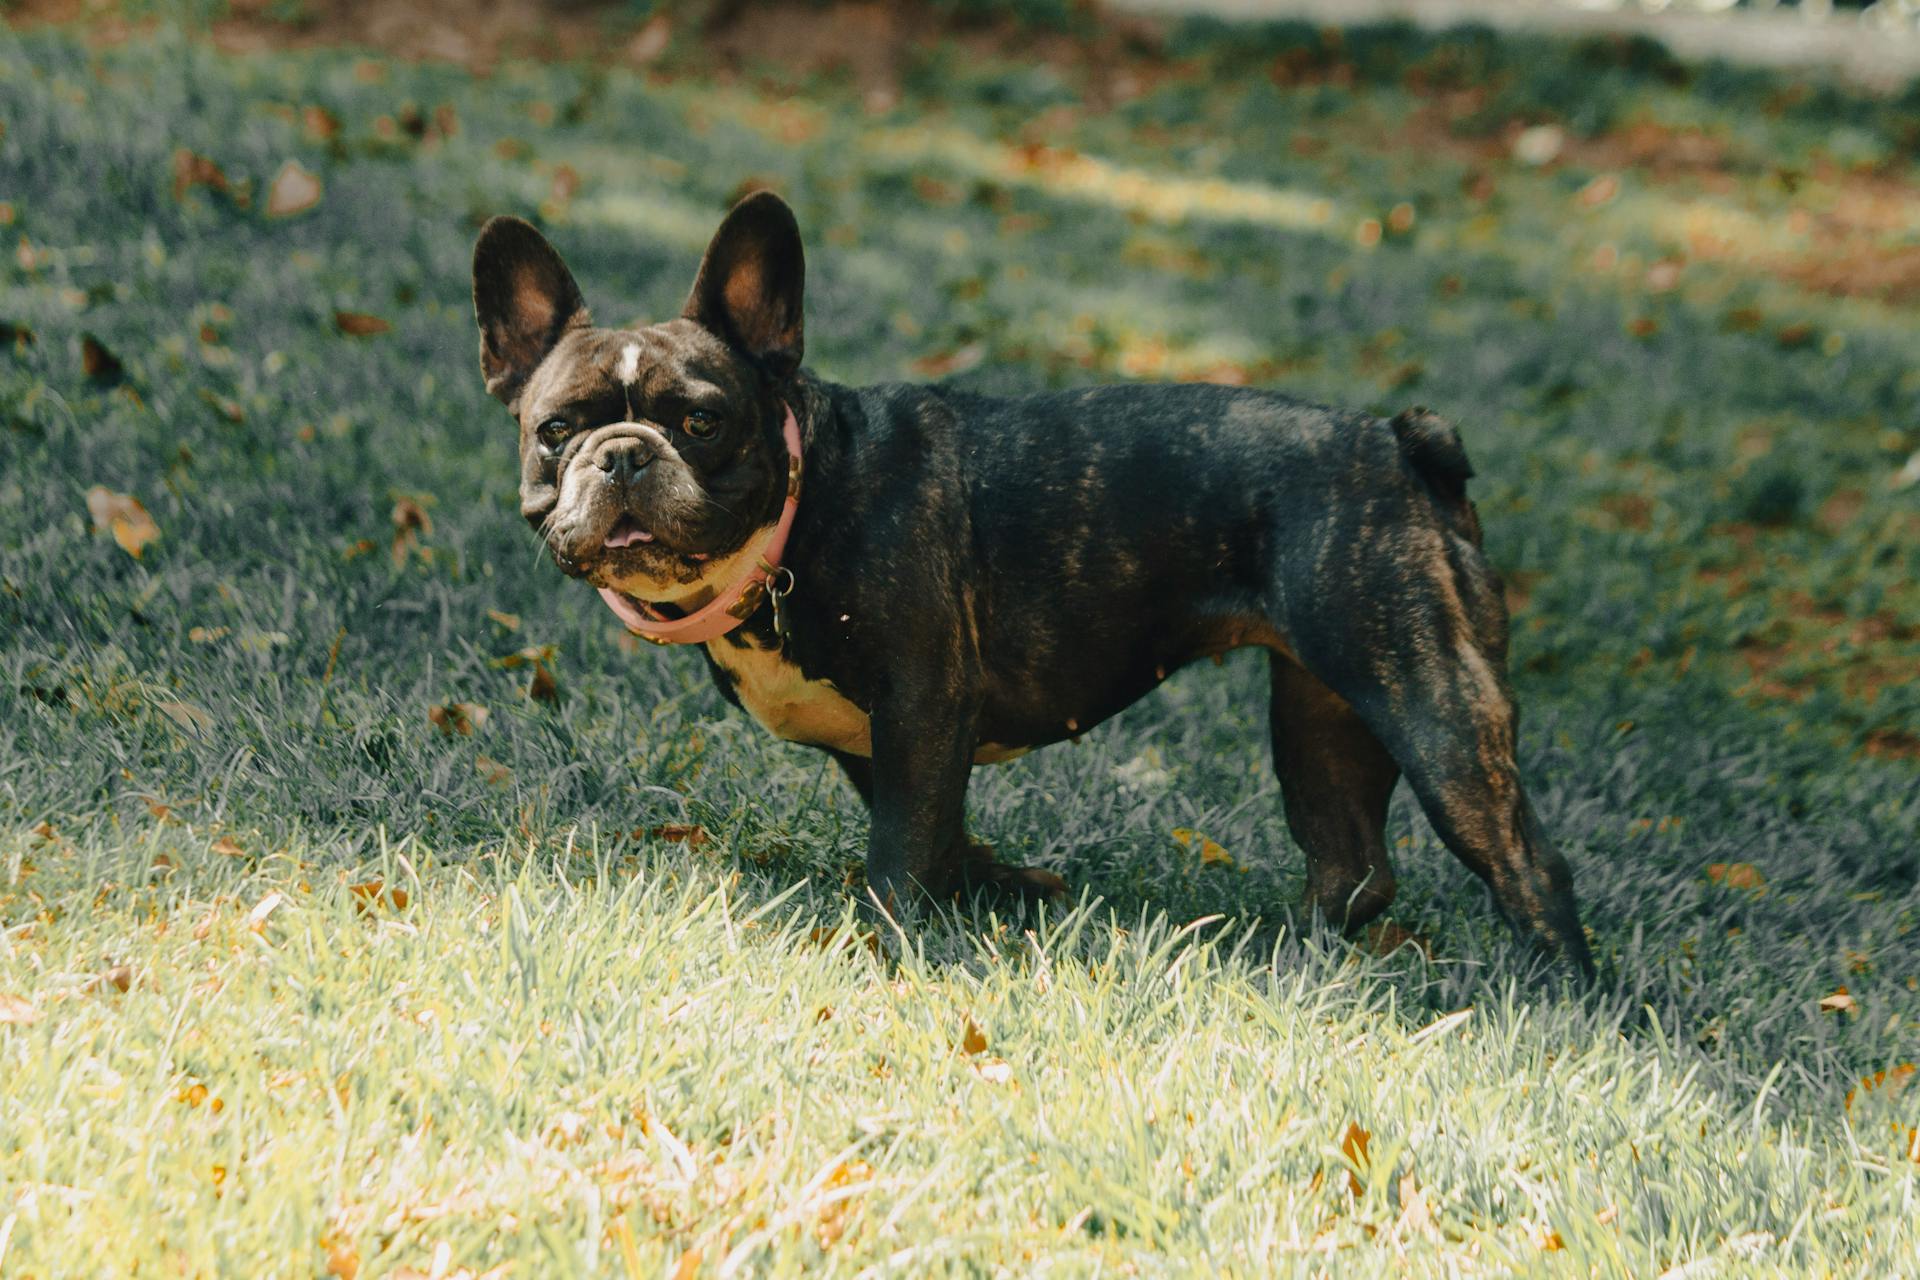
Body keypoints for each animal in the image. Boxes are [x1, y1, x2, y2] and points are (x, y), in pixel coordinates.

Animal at [472, 189, 1597, 974]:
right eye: (556, 430)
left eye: (702, 421)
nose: (622, 455)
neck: (806, 496)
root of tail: (1401, 444)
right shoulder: (889, 739)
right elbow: (936, 831)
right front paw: (998, 891)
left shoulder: (924, 704)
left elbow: (903, 847)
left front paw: (895, 947)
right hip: (1325, 719)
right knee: (1352, 865)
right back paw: (1298, 971)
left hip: (1429, 700)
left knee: (1524, 862)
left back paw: (1561, 1010)